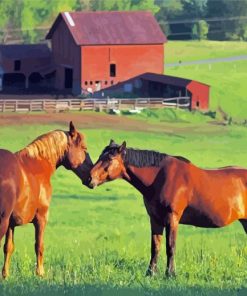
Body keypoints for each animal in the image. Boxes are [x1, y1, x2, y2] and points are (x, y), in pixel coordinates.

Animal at [0, 121, 92, 278]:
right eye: (84, 148)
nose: (92, 177)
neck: (37, 165)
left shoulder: (11, 224)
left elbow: (8, 248)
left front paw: (5, 275)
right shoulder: (41, 218)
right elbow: (39, 245)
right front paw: (40, 273)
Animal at [89, 140, 247, 276]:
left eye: (110, 159)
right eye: (100, 156)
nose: (89, 178)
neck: (159, 177)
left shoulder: (172, 218)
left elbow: (170, 247)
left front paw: (170, 274)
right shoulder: (155, 219)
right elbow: (155, 247)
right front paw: (151, 273)